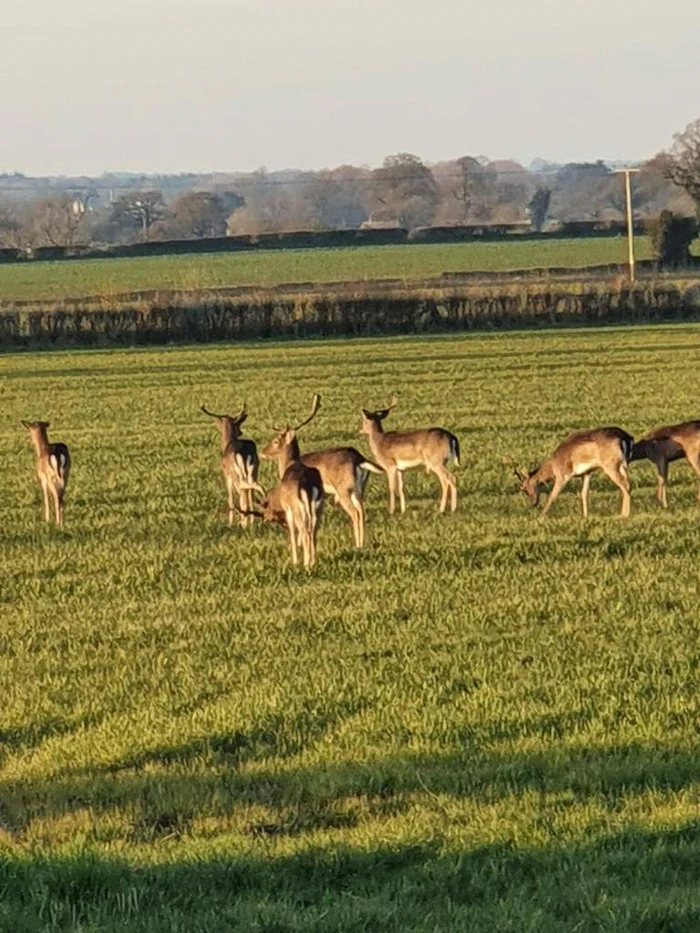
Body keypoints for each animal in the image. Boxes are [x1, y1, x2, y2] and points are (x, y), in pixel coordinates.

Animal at [259, 395, 325, 568]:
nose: (262, 452)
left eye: (276, 441)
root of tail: (307, 486)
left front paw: (295, 561)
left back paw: (307, 563)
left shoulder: (287, 508)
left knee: (305, 530)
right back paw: (313, 560)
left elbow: (292, 534)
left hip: (297, 508)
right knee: (314, 530)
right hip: (319, 506)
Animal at [261, 393, 382, 548]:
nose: (262, 452)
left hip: (344, 488)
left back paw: (357, 544)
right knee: (361, 511)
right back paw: (362, 542)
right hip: (359, 488)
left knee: (355, 512)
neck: (289, 464)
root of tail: (359, 459)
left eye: (275, 441)